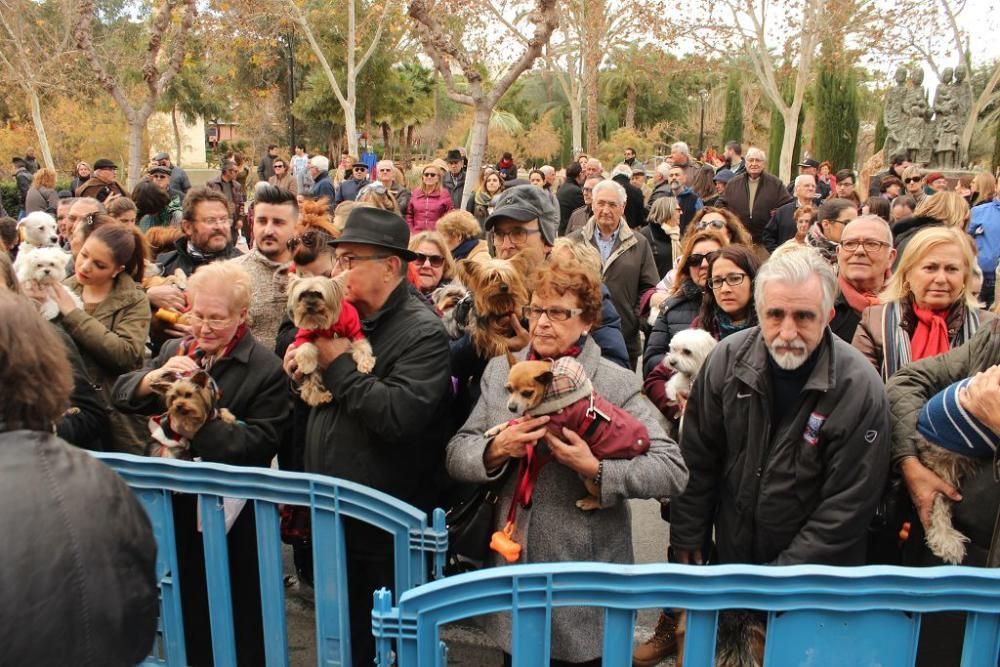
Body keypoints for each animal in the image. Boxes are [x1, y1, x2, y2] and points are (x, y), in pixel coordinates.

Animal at [288, 274, 376, 404]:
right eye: (302, 295)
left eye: (319, 294)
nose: (309, 306)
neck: (325, 322)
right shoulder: (304, 334)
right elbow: (305, 347)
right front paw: (307, 365)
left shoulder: (355, 331)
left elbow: (361, 347)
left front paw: (365, 364)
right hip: (316, 372)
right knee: (309, 388)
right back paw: (321, 396)